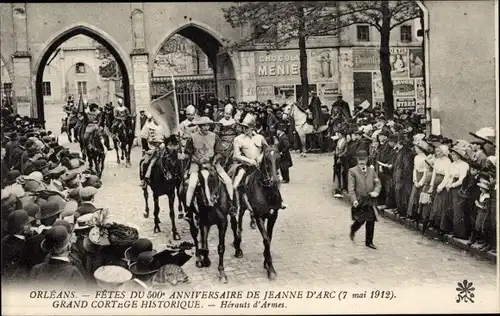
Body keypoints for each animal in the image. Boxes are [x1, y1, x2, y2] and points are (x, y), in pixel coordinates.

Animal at [233, 144, 282, 280]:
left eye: (279, 157)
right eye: (266, 159)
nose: (274, 180)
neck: (267, 192)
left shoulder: (273, 215)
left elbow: (269, 238)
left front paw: (266, 263)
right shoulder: (258, 216)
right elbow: (266, 239)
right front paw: (271, 269)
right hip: (238, 207)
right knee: (237, 226)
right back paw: (237, 248)